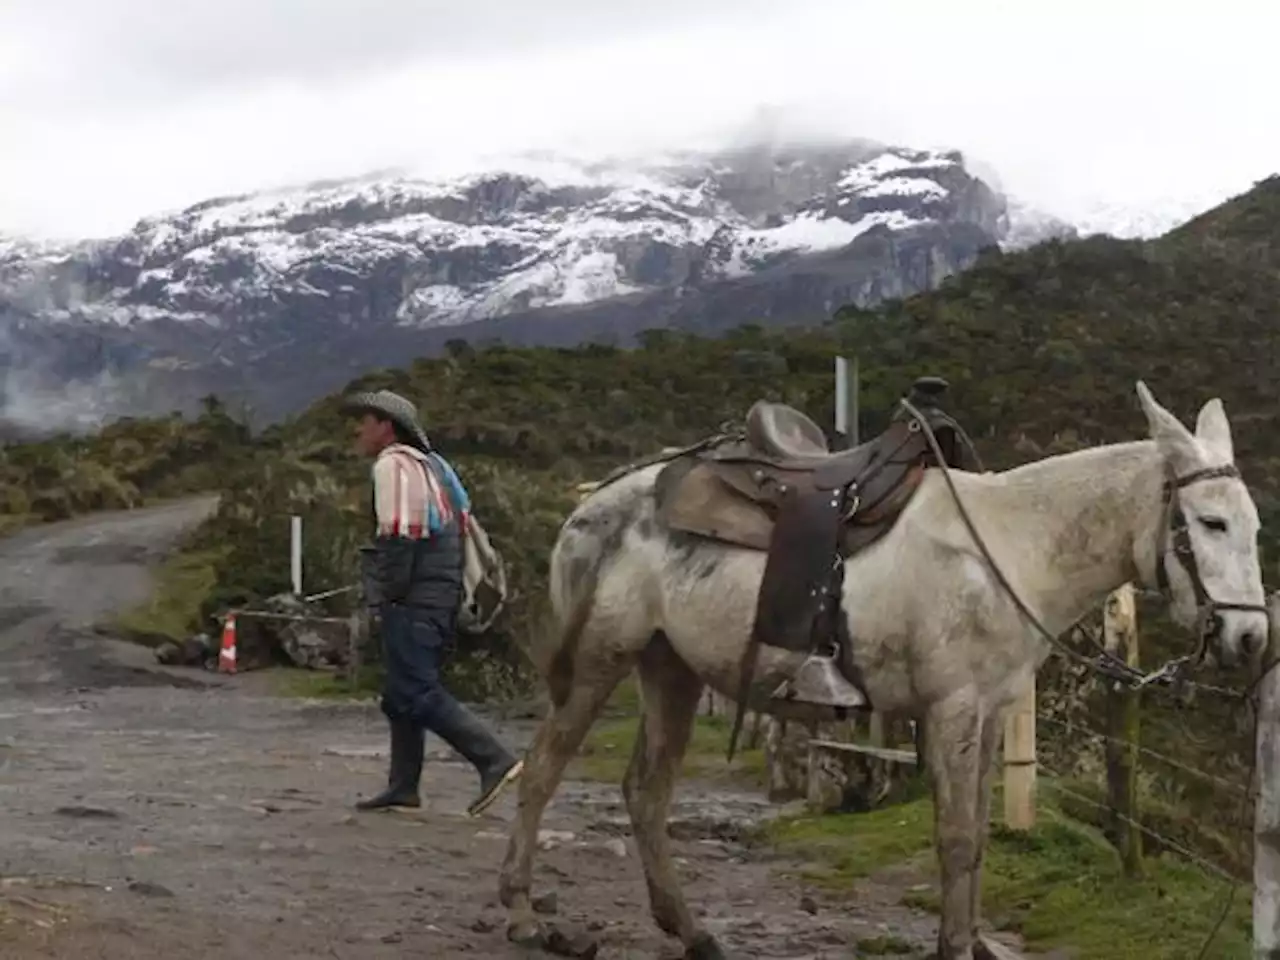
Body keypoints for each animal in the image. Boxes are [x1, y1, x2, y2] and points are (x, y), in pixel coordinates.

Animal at [494, 384, 1264, 960]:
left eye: (1254, 526)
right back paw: (525, 916)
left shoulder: (989, 711)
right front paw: (953, 948)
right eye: (1210, 523)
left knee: (645, 793)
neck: (1010, 550)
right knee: (541, 770)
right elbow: (955, 839)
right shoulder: (952, 709)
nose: (1252, 637)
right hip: (599, 660)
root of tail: (590, 506)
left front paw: (974, 941)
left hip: (670, 668)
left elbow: (978, 836)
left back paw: (691, 931)